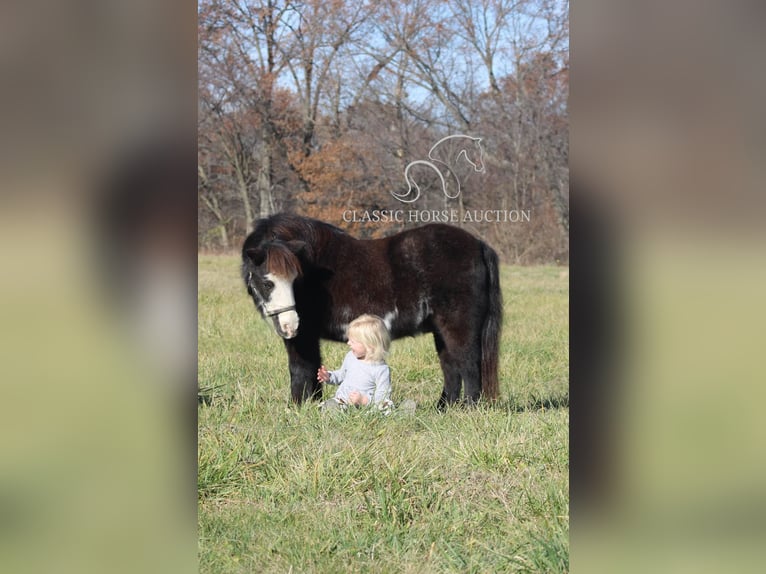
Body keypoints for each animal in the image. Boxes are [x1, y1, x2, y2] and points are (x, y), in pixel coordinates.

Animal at [242, 214, 504, 408]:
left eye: (295, 279)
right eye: (267, 282)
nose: (290, 325)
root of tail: (479, 245)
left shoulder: (302, 337)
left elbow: (300, 369)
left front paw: (299, 407)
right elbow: (312, 369)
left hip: (459, 328)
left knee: (468, 364)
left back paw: (469, 407)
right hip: (441, 331)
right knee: (451, 366)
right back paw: (444, 408)